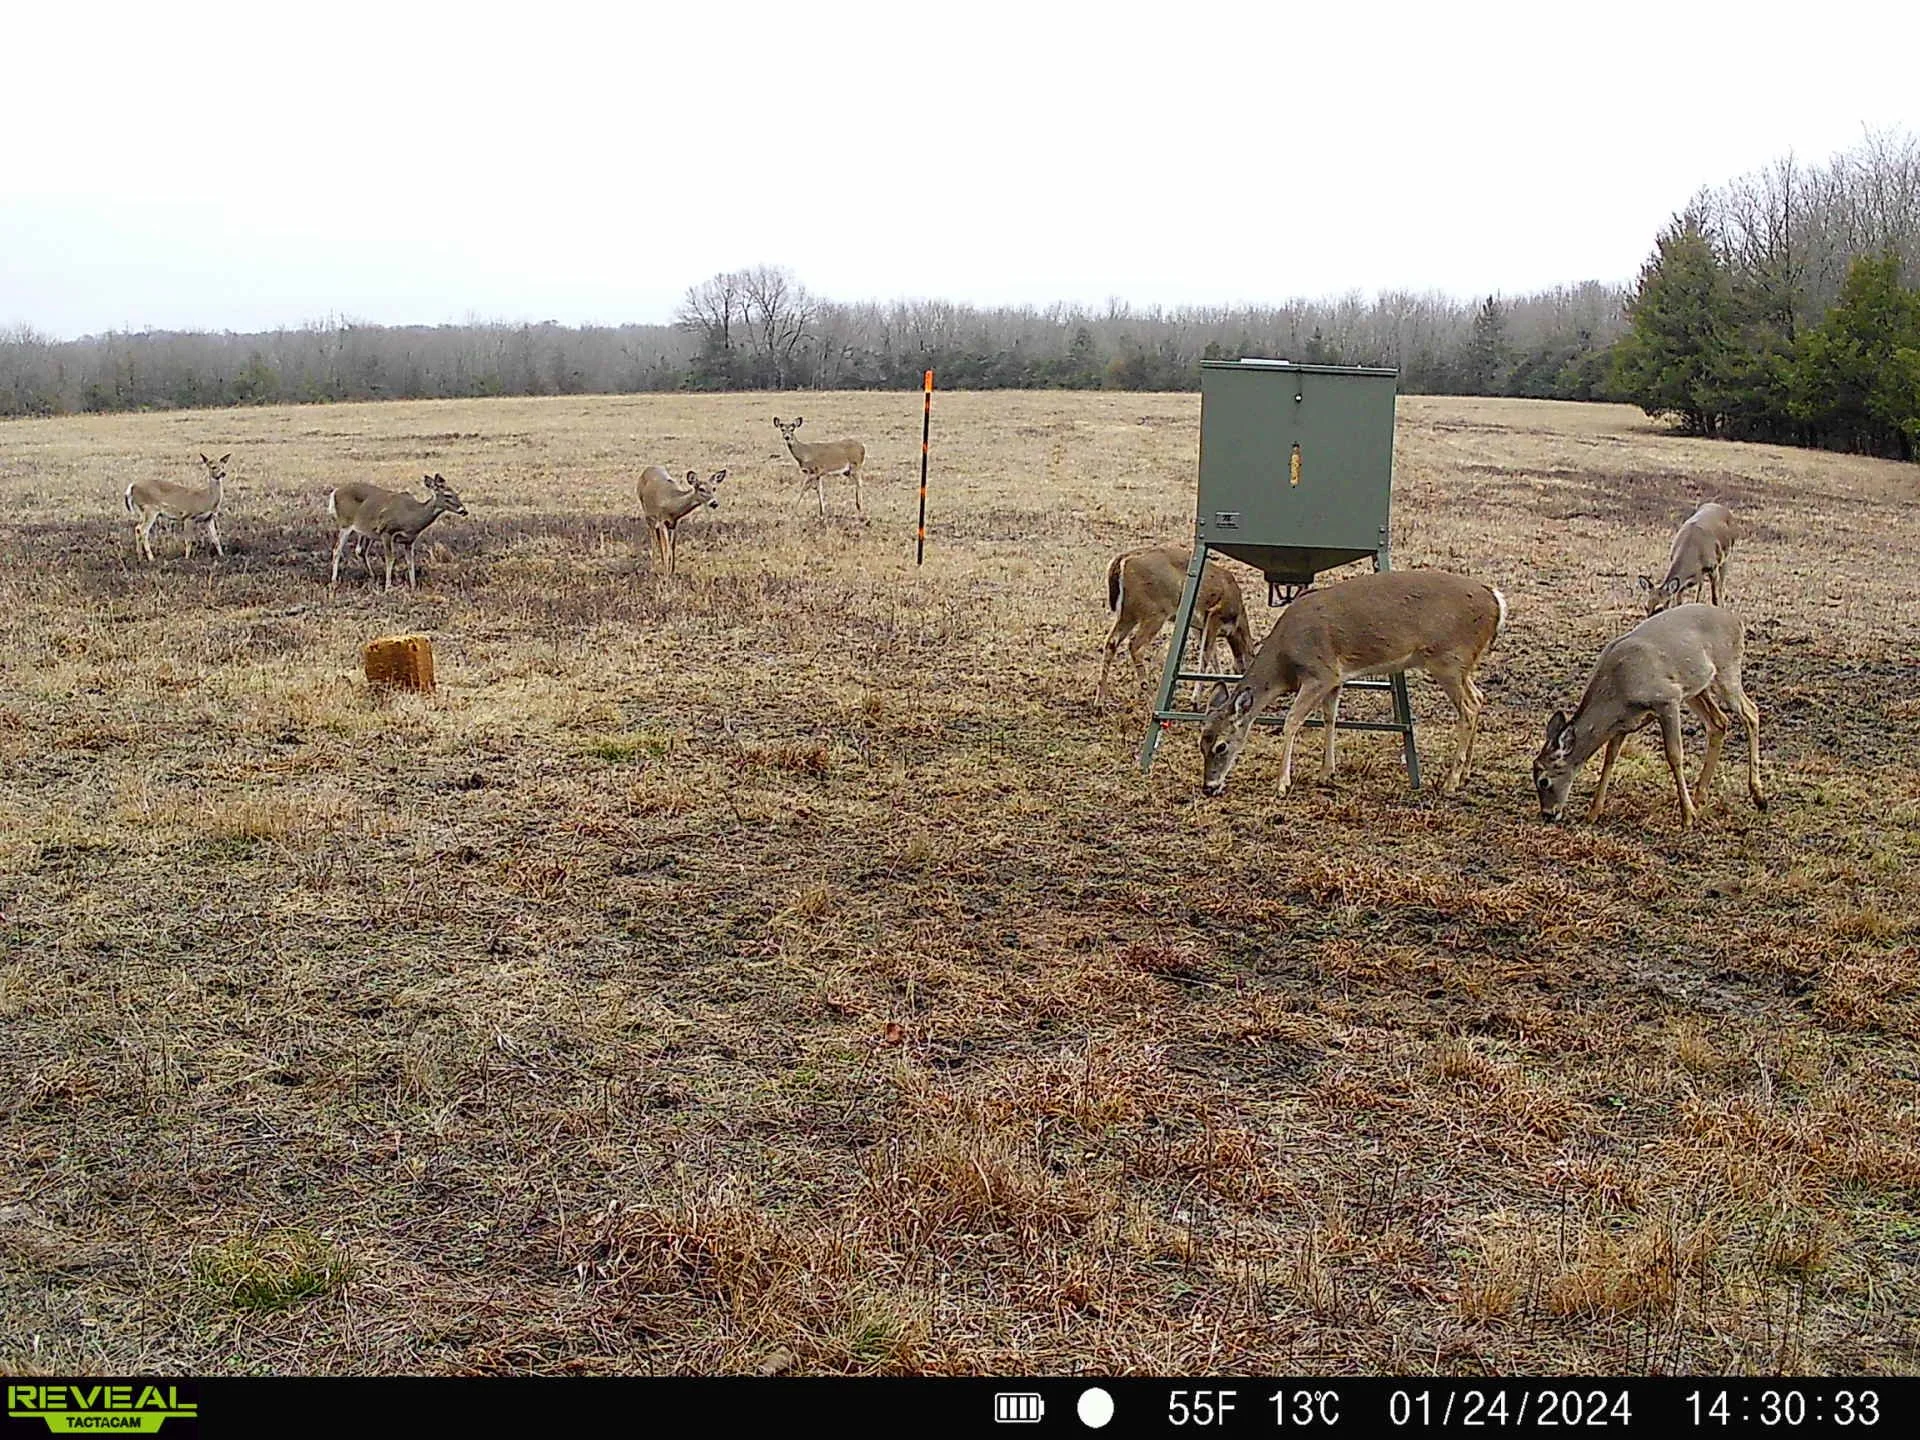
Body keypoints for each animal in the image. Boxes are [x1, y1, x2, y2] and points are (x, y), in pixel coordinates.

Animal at [326, 473, 469, 591]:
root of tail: (335, 492)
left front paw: (413, 586)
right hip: (345, 523)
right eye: (447, 495)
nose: (464, 511)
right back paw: (334, 581)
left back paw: (372, 576)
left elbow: (410, 561)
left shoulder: (410, 540)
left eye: (456, 493)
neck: (412, 518)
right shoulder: (386, 531)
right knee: (337, 550)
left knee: (360, 551)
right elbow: (390, 559)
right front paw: (388, 587)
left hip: (366, 531)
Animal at [1097, 543, 1254, 705]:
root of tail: (1124, 559)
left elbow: (1213, 656)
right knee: (1135, 646)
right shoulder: (1214, 614)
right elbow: (1206, 655)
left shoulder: (1199, 627)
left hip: (1128, 613)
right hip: (1155, 611)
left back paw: (1099, 701)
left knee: (1111, 642)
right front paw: (1195, 699)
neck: (1237, 621)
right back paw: (1150, 695)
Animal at [1199, 570, 1506, 800]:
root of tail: (1496, 601)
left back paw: (1451, 782)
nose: (1208, 788)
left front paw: (1282, 784)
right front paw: (1326, 773)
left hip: (1449, 659)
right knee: (1479, 697)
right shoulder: (1336, 679)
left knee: (1468, 707)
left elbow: (1292, 721)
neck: (1285, 661)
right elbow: (1330, 718)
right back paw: (1466, 773)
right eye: (1201, 743)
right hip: (1461, 665)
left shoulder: (1319, 672)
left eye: (1221, 747)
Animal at [1532, 602, 1766, 831]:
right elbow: (1610, 759)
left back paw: (1757, 796)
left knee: (1751, 712)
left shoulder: (1667, 699)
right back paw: (1700, 797)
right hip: (1696, 688)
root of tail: (1736, 620)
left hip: (1726, 671)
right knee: (1719, 722)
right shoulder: (1623, 723)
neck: (1620, 690)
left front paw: (1688, 817)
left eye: (1543, 781)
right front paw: (1593, 813)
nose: (1548, 814)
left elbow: (1674, 755)